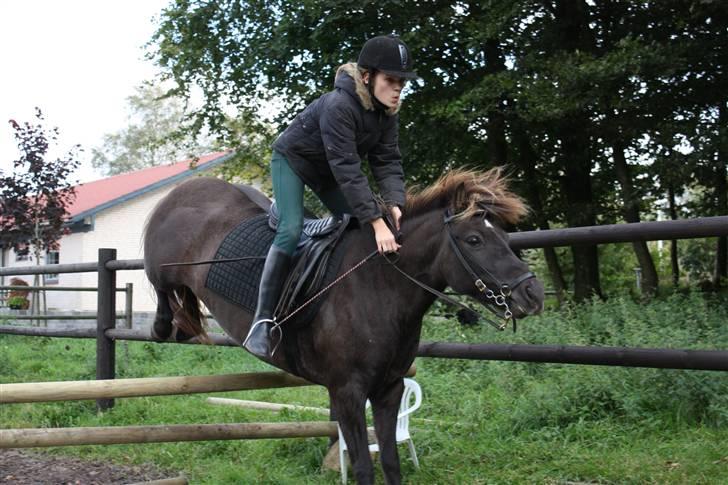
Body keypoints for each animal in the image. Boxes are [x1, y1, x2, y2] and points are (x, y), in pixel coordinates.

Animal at [142, 167, 544, 484]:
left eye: (504, 237)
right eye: (474, 240)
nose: (533, 294)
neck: (377, 285)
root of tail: (183, 190)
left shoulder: (389, 390)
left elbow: (391, 462)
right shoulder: (348, 393)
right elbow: (363, 466)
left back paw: (183, 327)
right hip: (161, 265)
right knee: (161, 289)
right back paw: (165, 326)